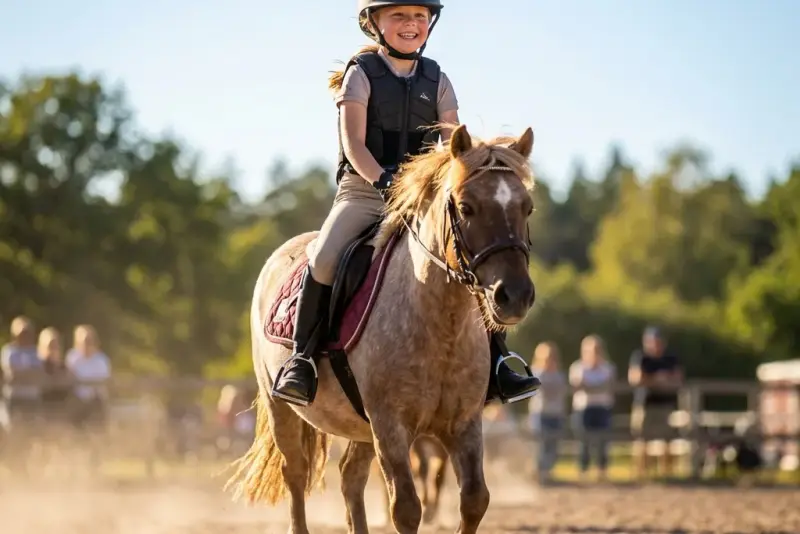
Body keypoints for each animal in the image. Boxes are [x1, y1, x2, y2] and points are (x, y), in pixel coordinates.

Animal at [226, 124, 537, 534]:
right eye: (467, 207)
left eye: (527, 207)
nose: (514, 296)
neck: (440, 327)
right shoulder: (390, 426)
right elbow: (406, 508)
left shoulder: (464, 423)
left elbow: (474, 500)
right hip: (283, 409)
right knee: (296, 473)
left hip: (361, 426)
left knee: (350, 477)